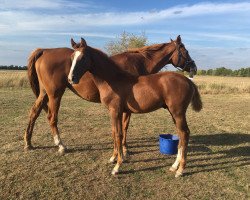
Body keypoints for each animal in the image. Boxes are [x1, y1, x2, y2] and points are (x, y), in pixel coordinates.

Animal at [24, 35, 196, 157]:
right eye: (185, 51)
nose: (193, 67)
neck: (138, 62)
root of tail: (44, 50)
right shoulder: (127, 107)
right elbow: (124, 127)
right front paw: (124, 149)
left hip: (44, 93)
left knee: (34, 112)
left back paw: (28, 142)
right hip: (55, 94)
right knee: (52, 118)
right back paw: (60, 146)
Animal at [69, 38, 202, 177]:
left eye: (83, 57)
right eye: (72, 57)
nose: (71, 78)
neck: (113, 79)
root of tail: (188, 81)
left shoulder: (116, 111)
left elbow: (119, 134)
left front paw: (117, 166)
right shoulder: (114, 112)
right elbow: (115, 132)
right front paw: (113, 158)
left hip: (178, 112)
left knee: (185, 133)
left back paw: (180, 170)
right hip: (174, 113)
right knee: (181, 134)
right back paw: (174, 166)